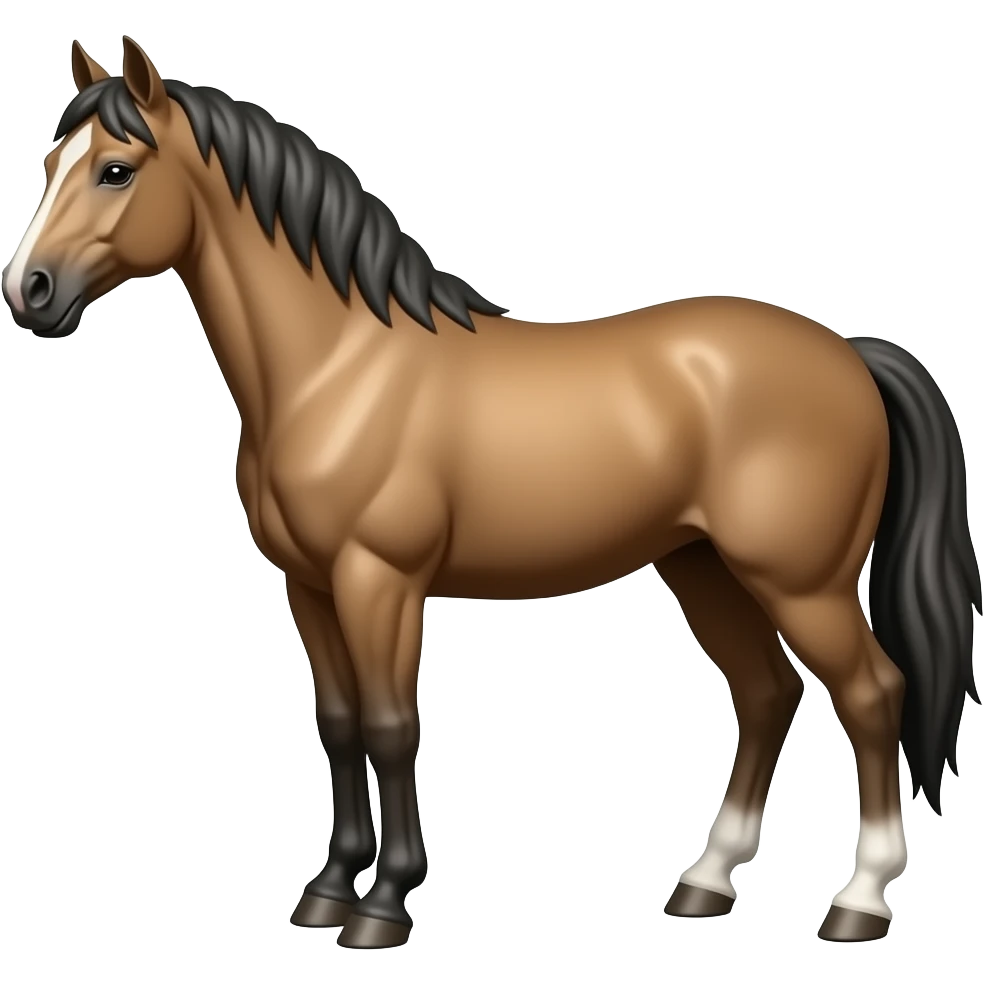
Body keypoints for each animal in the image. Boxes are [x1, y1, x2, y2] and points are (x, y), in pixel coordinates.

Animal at [2, 36, 979, 949]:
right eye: (52, 165)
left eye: (117, 169)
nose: (29, 291)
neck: (338, 369)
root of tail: (849, 353)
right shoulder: (308, 584)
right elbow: (339, 722)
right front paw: (328, 891)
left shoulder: (380, 581)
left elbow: (392, 726)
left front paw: (384, 906)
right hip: (703, 567)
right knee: (768, 692)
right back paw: (705, 882)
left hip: (801, 582)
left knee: (872, 694)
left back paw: (859, 900)